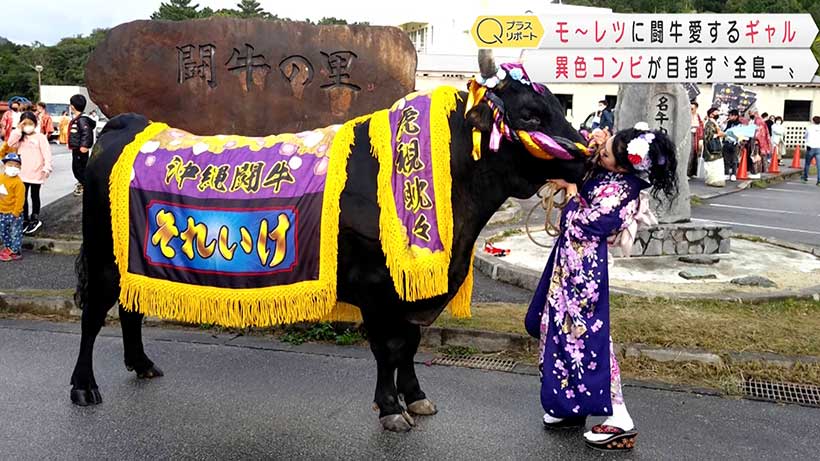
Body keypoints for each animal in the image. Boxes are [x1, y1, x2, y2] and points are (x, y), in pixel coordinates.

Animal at [67, 83, 588, 432]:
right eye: (531, 116)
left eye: (560, 107)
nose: (588, 156)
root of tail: (131, 123)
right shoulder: (378, 287)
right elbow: (388, 348)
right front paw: (390, 408)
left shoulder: (413, 290)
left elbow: (410, 345)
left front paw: (416, 397)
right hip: (104, 256)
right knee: (94, 314)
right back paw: (84, 387)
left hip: (132, 258)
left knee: (130, 308)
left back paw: (141, 363)